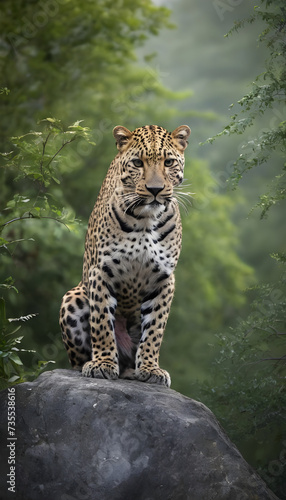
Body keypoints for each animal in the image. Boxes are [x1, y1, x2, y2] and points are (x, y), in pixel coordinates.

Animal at [59, 124, 191, 386]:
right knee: (77, 360)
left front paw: (151, 368)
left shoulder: (164, 279)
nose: (155, 190)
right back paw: (95, 365)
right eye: (138, 163)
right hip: (73, 297)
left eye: (169, 162)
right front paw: (102, 364)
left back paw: (131, 370)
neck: (145, 220)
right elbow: (101, 324)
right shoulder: (100, 273)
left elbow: (155, 329)